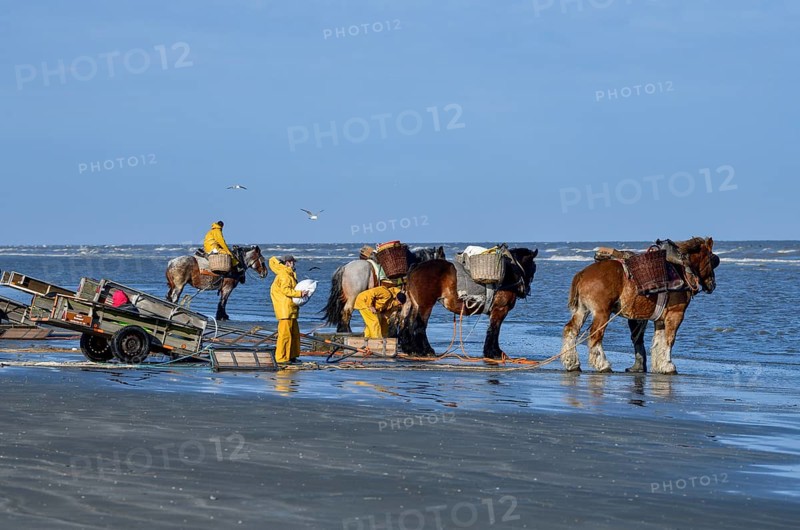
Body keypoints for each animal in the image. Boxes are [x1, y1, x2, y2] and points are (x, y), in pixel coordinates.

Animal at [397, 247, 538, 358]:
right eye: (533, 268)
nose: (526, 290)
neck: (509, 273)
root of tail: (416, 267)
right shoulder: (500, 310)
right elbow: (494, 330)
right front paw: (494, 352)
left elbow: (492, 329)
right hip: (425, 305)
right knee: (419, 326)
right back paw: (426, 350)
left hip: (414, 304)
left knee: (407, 324)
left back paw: (411, 349)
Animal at [560, 237, 719, 374]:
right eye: (712, 260)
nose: (713, 284)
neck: (681, 268)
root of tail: (582, 274)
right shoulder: (676, 314)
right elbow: (669, 340)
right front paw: (668, 365)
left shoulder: (660, 320)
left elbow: (658, 342)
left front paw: (660, 365)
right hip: (602, 313)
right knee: (595, 335)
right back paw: (603, 364)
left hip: (582, 310)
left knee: (571, 330)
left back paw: (572, 363)